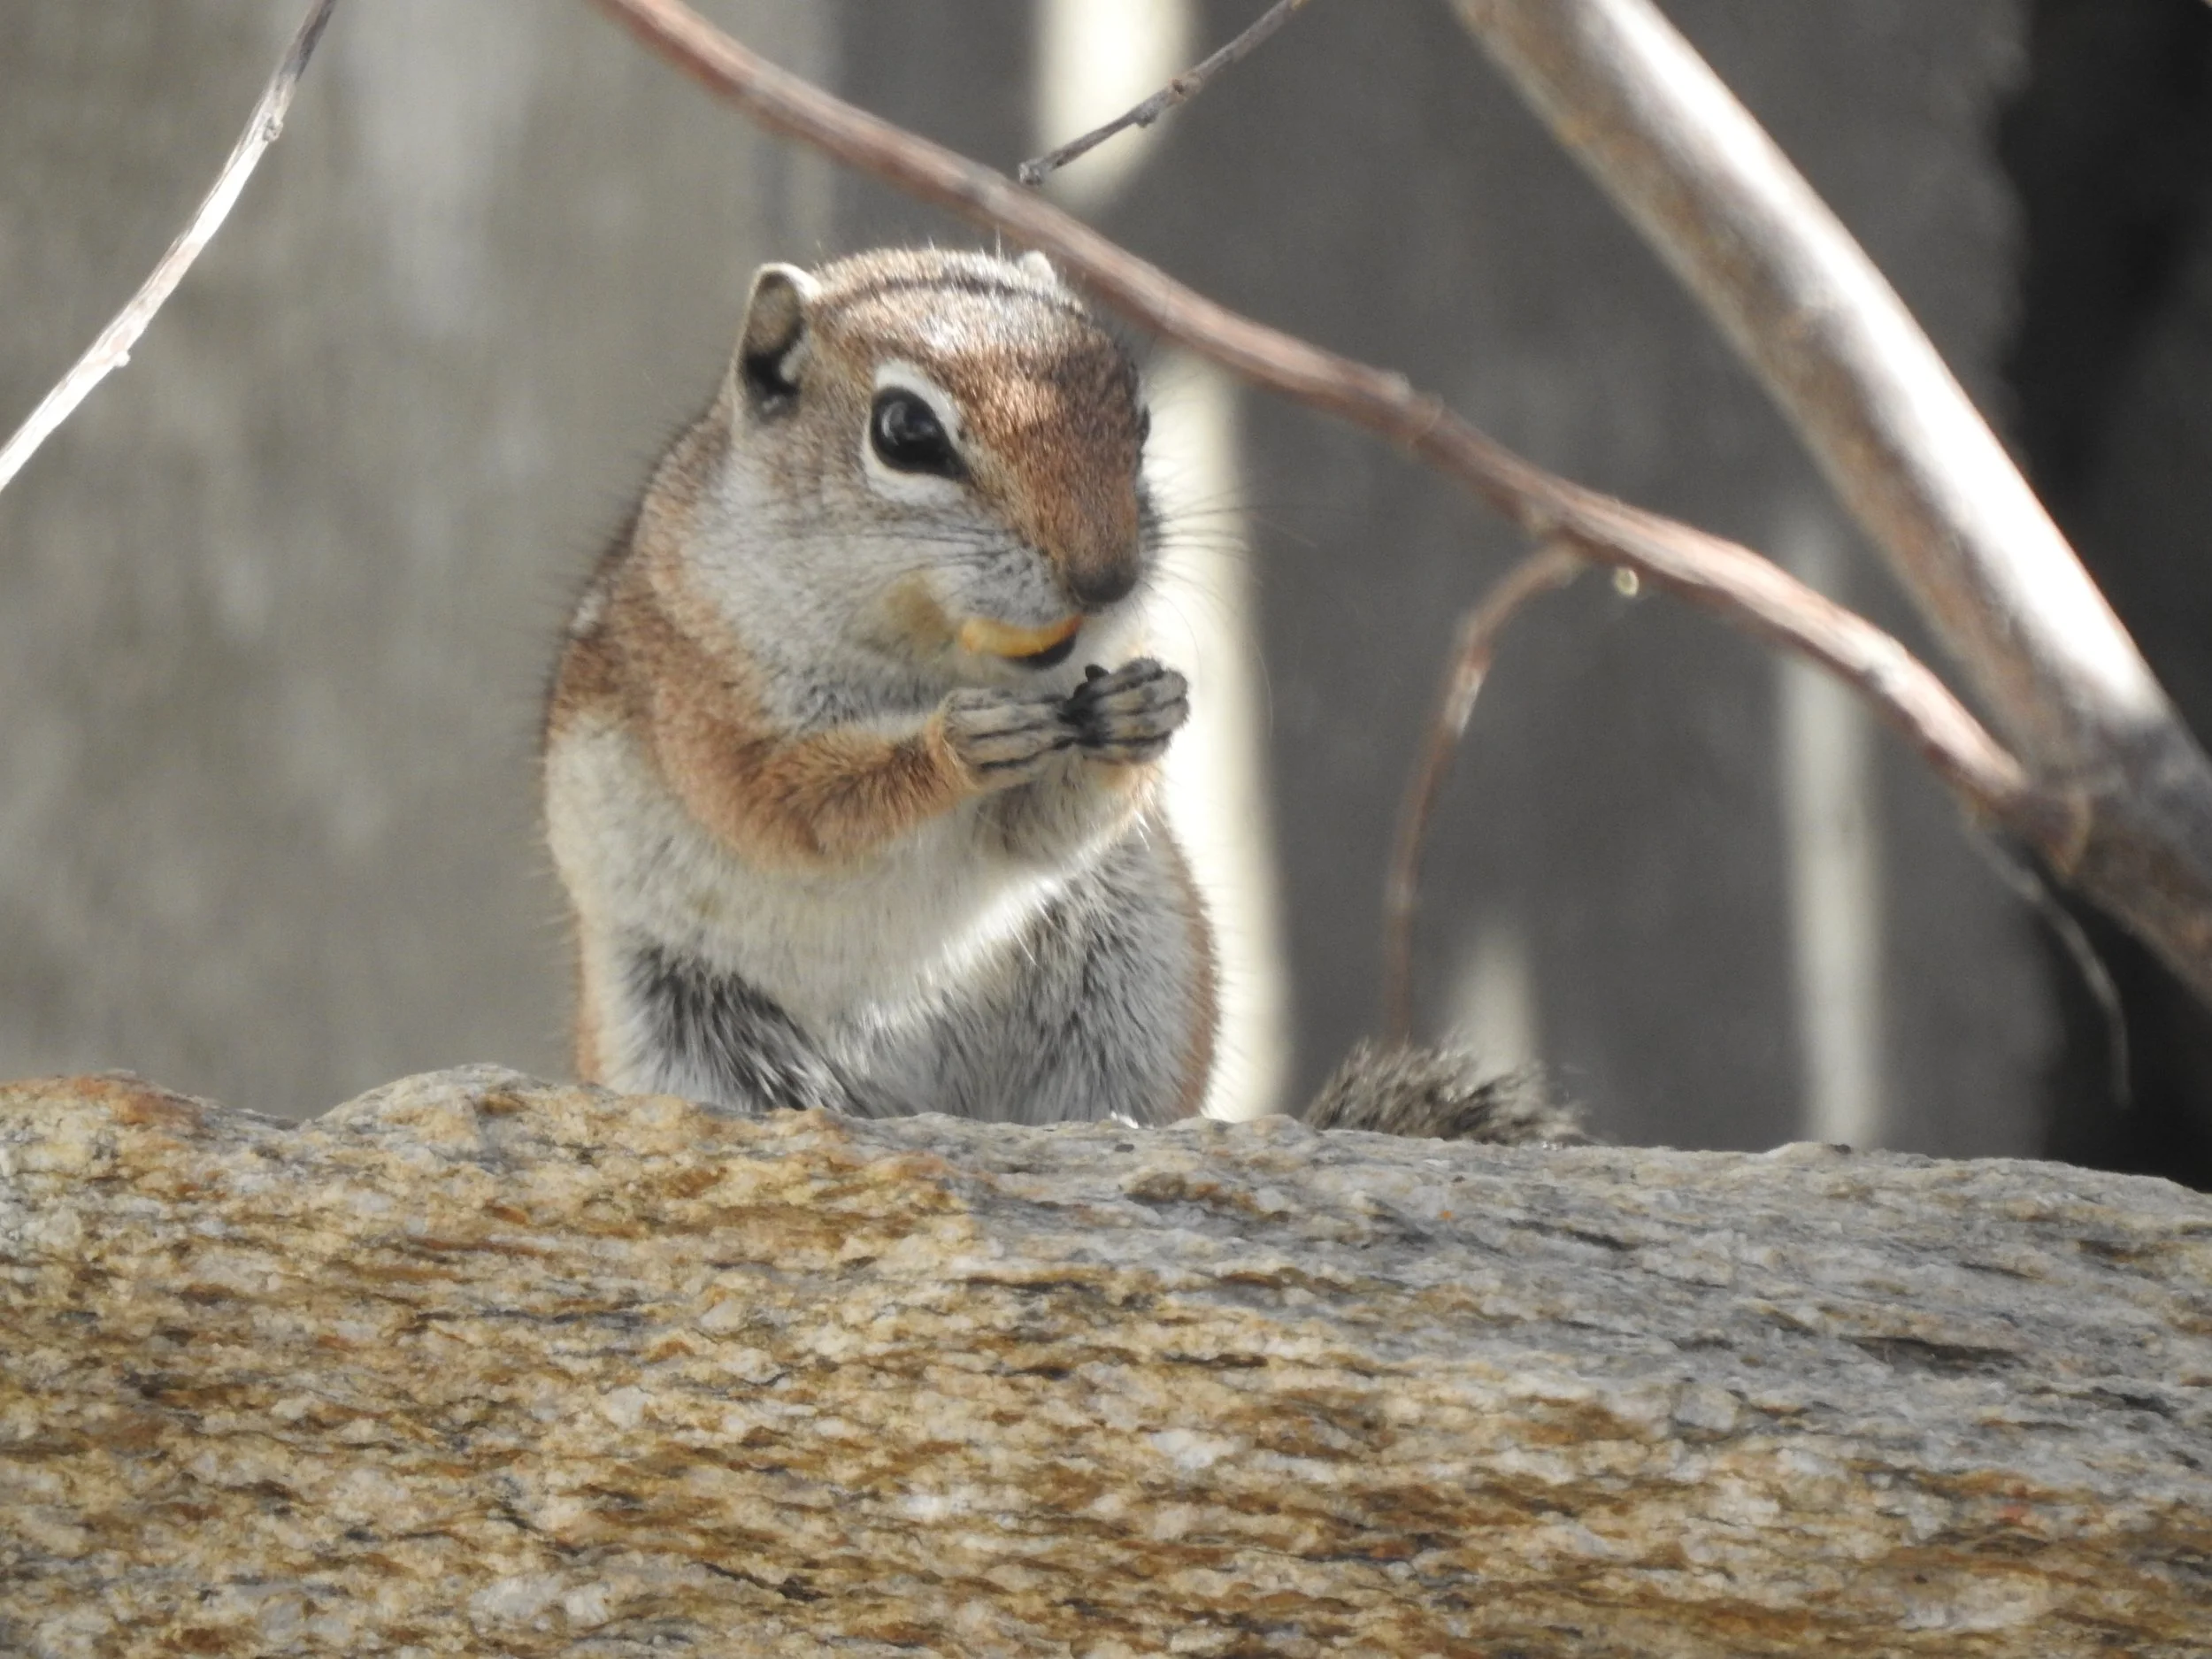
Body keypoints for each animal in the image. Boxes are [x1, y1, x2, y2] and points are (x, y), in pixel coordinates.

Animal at [544, 246, 1582, 1146]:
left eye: (1140, 419)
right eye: (906, 432)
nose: (1108, 577)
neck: (931, 653)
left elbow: (1037, 831)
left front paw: (1141, 715)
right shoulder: (701, 701)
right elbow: (788, 804)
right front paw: (952, 748)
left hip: (1137, 980)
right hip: (676, 1031)